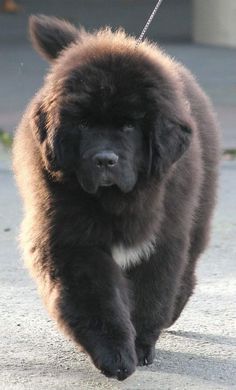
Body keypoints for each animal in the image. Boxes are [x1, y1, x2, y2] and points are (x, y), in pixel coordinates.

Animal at [12, 16, 219, 380]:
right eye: (82, 123)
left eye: (129, 126)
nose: (105, 160)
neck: (116, 202)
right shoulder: (70, 241)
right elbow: (96, 301)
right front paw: (115, 355)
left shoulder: (162, 239)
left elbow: (152, 294)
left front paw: (140, 346)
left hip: (197, 214)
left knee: (188, 267)